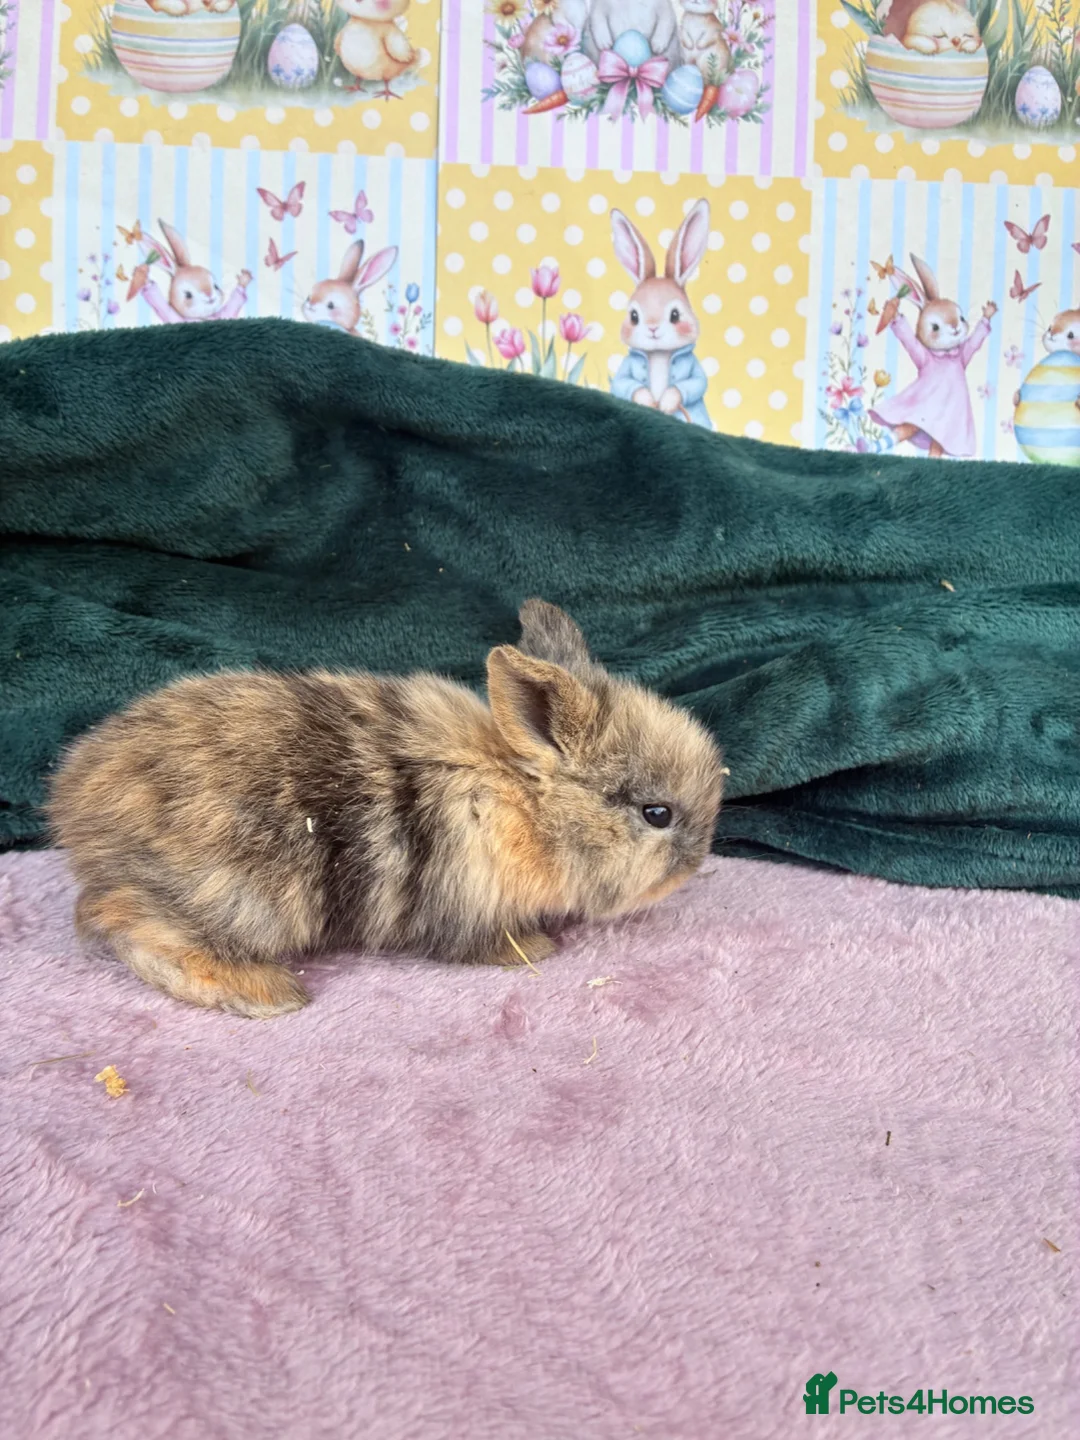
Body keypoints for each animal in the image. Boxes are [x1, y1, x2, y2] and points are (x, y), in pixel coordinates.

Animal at [48, 601, 726, 1018]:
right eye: (657, 814)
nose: (697, 863)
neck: (525, 803)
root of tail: (72, 805)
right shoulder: (467, 903)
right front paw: (533, 950)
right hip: (235, 899)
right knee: (126, 924)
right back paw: (269, 994)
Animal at [609, 198, 713, 430]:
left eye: (675, 315)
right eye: (634, 316)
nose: (653, 328)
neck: (659, 354)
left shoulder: (692, 369)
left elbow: (697, 382)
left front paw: (666, 403)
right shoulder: (626, 371)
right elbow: (624, 382)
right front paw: (648, 401)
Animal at [869, 253, 996, 458]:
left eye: (961, 318)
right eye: (935, 327)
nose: (955, 328)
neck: (945, 354)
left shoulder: (963, 355)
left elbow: (975, 340)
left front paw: (989, 312)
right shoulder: (922, 355)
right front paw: (893, 313)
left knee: (934, 444)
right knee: (904, 428)